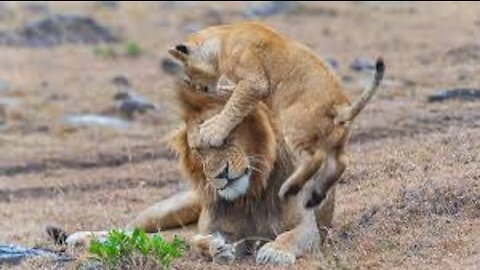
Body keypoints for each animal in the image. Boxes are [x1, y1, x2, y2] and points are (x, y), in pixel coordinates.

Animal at [64, 80, 334, 266]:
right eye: (197, 150)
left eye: (225, 137)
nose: (220, 174)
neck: (250, 195)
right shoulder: (207, 227)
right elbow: (198, 240)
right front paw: (216, 247)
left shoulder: (307, 225)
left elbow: (291, 236)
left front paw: (274, 252)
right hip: (169, 209)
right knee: (128, 230)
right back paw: (78, 237)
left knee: (146, 237)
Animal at [167, 21, 384, 207]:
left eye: (188, 73)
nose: (194, 87)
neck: (224, 36)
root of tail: (340, 108)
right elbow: (233, 96)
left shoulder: (255, 82)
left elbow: (234, 104)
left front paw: (213, 131)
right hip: (335, 141)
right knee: (339, 162)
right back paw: (315, 196)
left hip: (292, 123)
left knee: (316, 158)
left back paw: (289, 189)